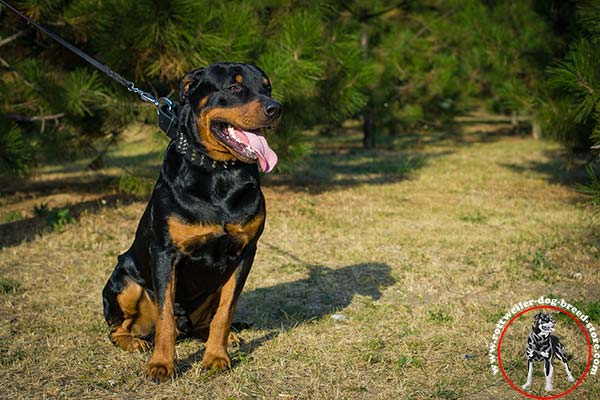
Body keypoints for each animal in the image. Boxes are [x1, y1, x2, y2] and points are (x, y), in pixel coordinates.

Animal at [102, 61, 282, 382]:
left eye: (267, 88)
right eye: (233, 87)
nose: (276, 108)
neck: (220, 173)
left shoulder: (245, 253)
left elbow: (225, 312)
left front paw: (216, 357)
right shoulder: (165, 253)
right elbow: (165, 317)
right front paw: (161, 364)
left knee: (205, 322)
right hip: (124, 280)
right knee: (119, 328)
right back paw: (134, 342)